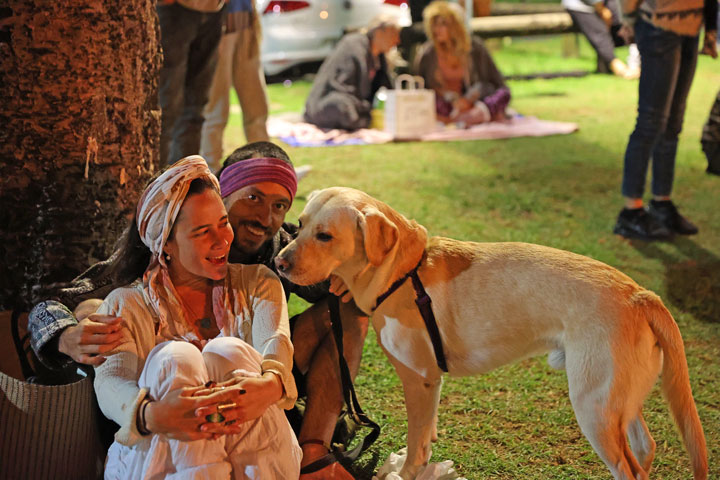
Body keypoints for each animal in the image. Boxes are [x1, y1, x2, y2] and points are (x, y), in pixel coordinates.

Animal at [276, 186, 708, 478]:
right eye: (299, 225)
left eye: (325, 235)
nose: (278, 262)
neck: (402, 271)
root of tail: (640, 294)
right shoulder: (431, 385)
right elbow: (426, 437)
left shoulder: (419, 380)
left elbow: (416, 448)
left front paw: (405, 472)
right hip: (619, 402)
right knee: (645, 448)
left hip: (594, 408)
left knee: (629, 467)